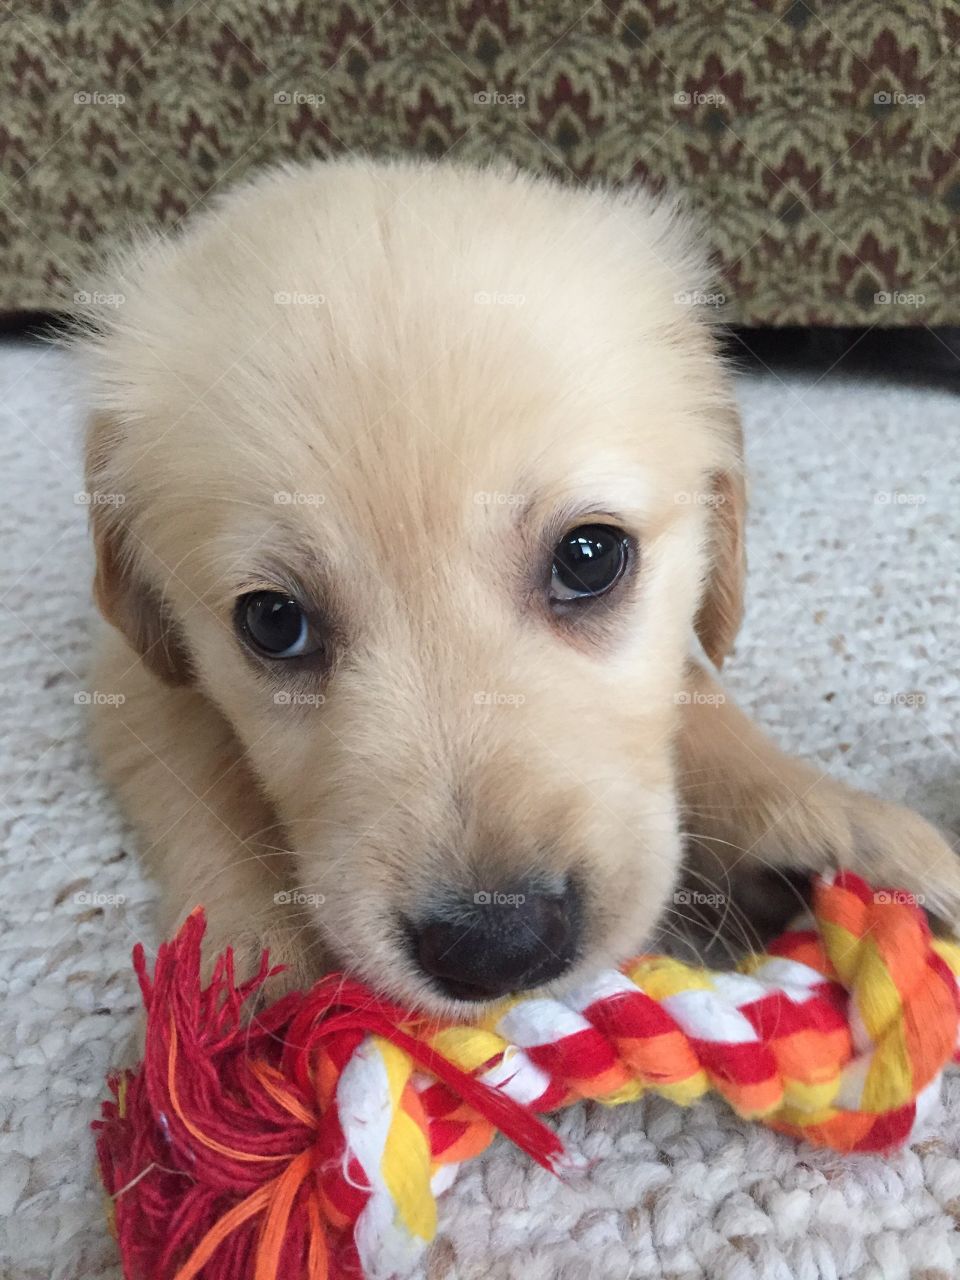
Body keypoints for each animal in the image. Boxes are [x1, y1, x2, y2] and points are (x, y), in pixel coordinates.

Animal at [77, 157, 960, 1008]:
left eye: (589, 558)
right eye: (272, 623)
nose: (496, 948)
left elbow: (695, 690)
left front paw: (822, 821)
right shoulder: (135, 664)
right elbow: (203, 776)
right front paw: (254, 971)